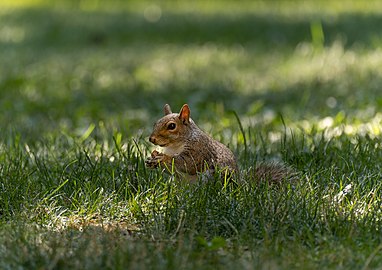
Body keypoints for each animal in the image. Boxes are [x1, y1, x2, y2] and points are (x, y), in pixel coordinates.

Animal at [145, 104, 294, 182]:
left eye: (172, 126)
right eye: (155, 123)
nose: (151, 139)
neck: (174, 146)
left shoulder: (199, 149)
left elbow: (188, 163)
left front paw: (163, 158)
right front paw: (152, 157)